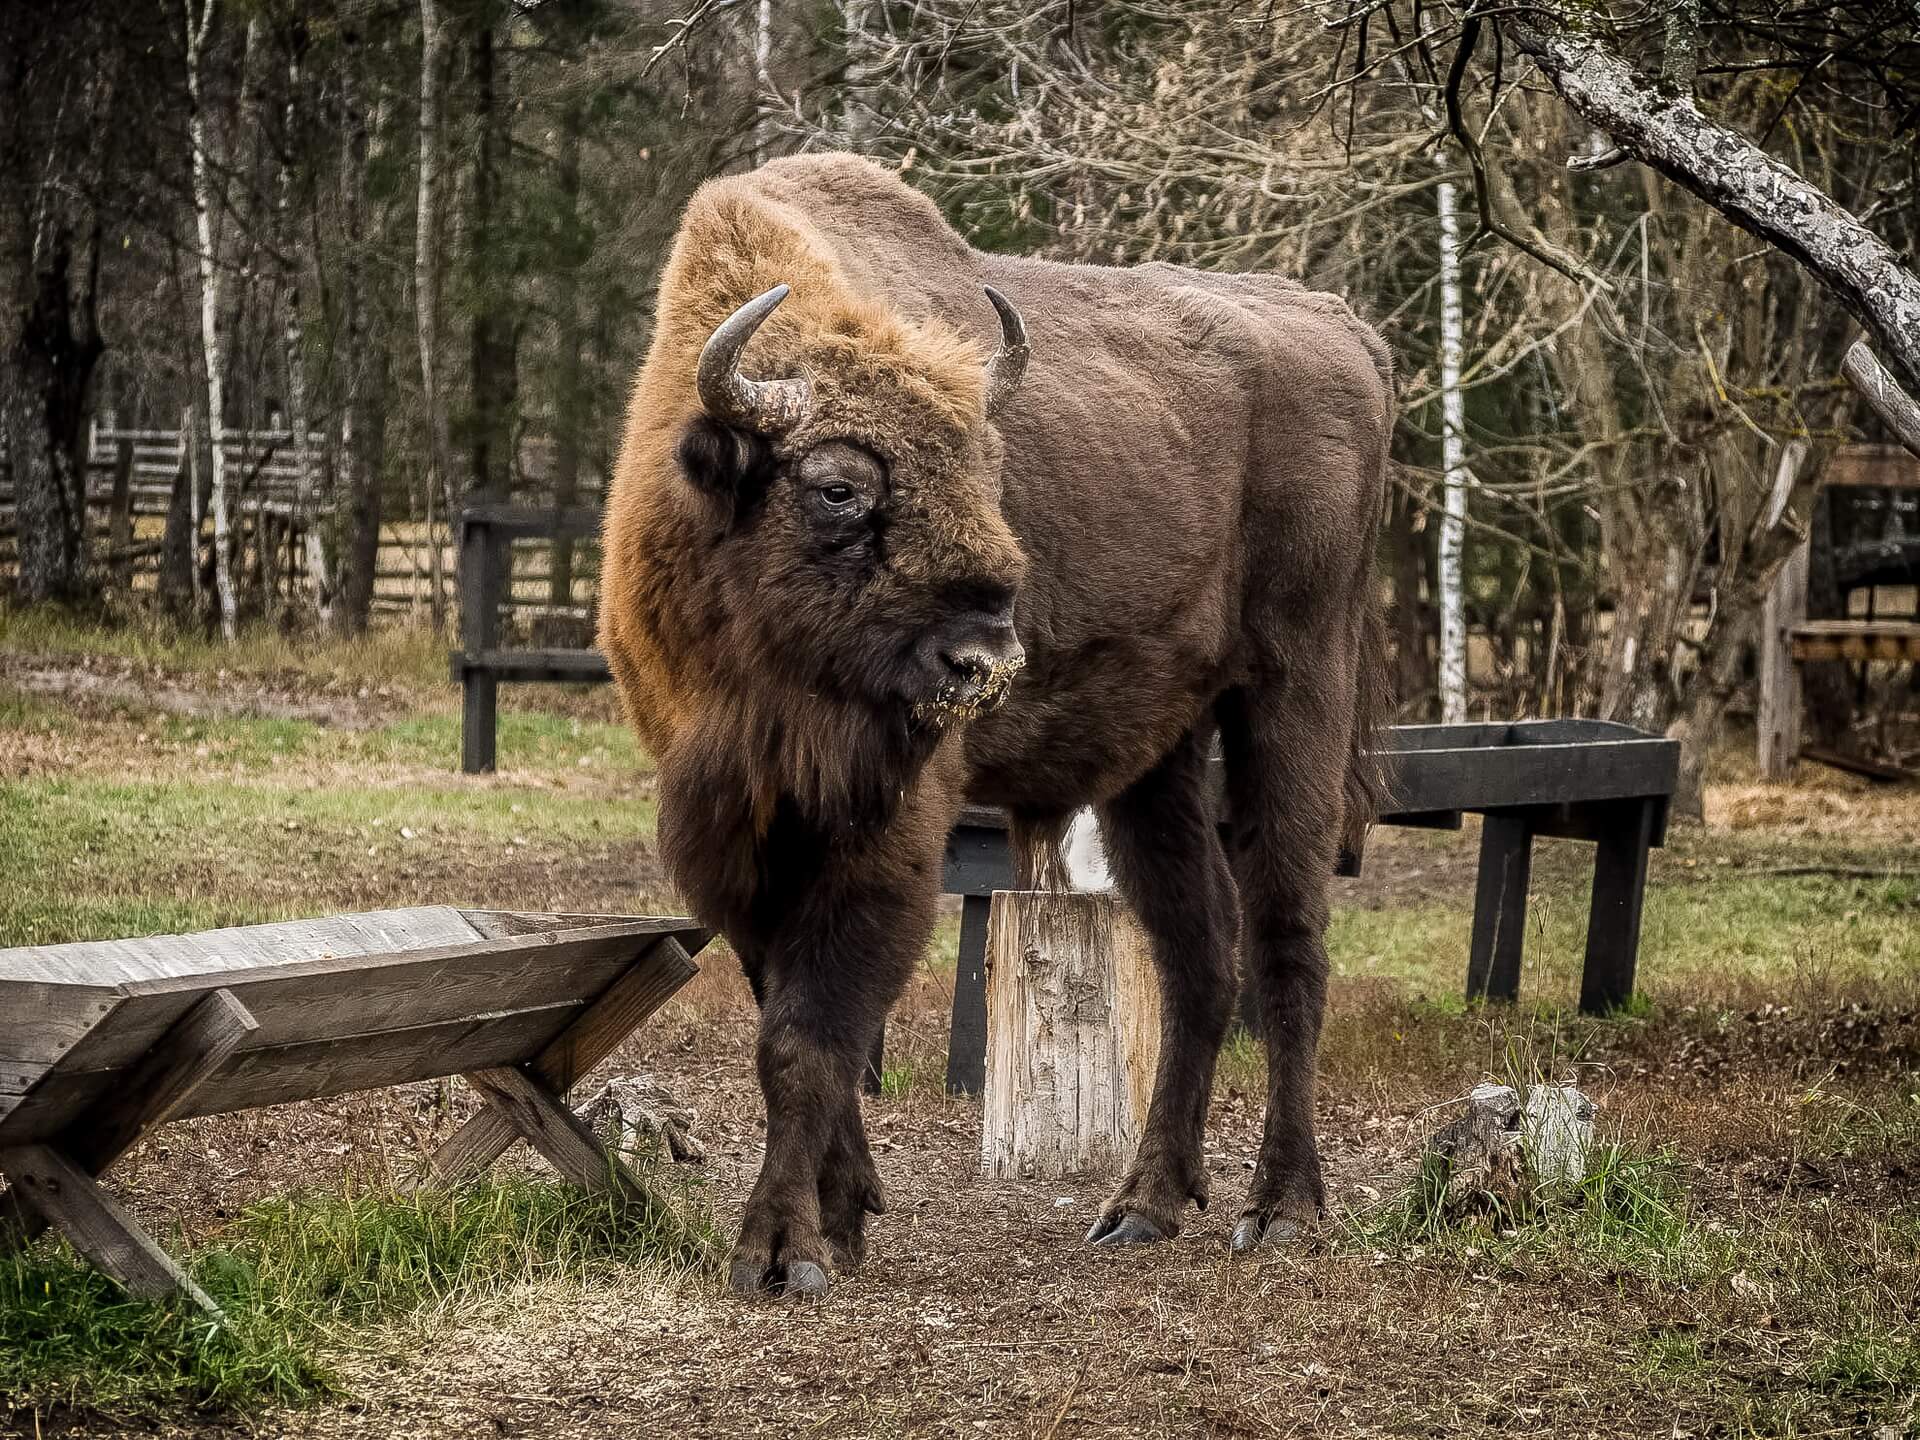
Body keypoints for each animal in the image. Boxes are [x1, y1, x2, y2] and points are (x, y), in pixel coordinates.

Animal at [602, 155, 1397, 1297]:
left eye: (989, 466)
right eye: (837, 486)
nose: (987, 656)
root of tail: (1344, 331)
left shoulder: (885, 831)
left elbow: (808, 1031)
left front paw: (781, 1253)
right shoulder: (739, 832)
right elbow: (786, 1014)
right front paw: (843, 1213)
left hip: (1296, 689)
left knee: (1287, 934)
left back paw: (1281, 1209)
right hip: (1155, 754)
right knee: (1198, 951)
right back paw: (1141, 1205)